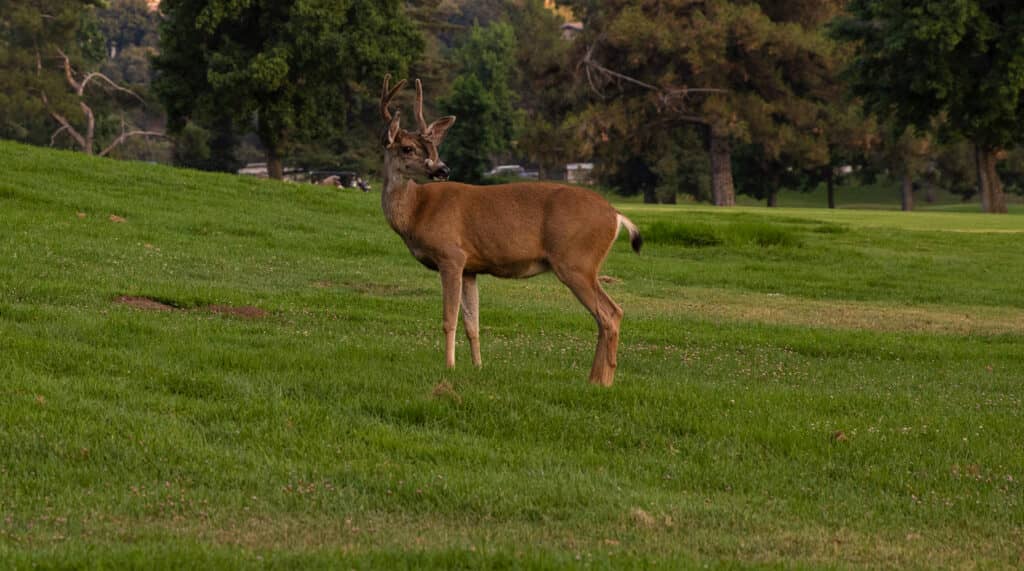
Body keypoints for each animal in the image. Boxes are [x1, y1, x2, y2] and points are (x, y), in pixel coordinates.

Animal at [379, 74, 642, 387]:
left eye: (433, 150)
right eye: (408, 148)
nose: (443, 169)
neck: (417, 210)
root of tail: (616, 215)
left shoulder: (451, 255)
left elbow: (449, 318)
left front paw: (449, 367)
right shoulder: (470, 268)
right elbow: (473, 323)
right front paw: (478, 366)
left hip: (576, 261)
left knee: (611, 313)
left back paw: (601, 380)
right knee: (608, 315)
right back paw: (594, 379)